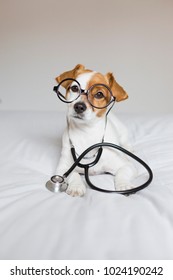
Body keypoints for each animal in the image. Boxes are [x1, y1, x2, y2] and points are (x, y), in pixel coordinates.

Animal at [54, 64, 136, 196]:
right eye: (75, 88)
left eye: (99, 94)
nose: (79, 107)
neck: (86, 132)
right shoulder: (62, 168)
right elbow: (73, 174)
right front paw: (76, 186)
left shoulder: (127, 166)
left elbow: (122, 173)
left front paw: (124, 185)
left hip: (123, 134)